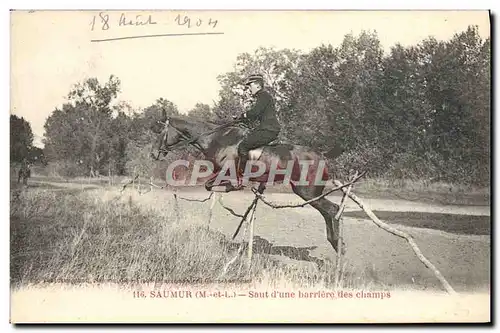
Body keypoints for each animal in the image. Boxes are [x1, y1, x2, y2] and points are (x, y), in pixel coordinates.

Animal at [148, 111, 344, 252]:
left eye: (160, 133)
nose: (153, 154)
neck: (217, 139)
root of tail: (321, 155)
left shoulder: (227, 172)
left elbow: (213, 185)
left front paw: (232, 187)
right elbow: (208, 185)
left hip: (308, 191)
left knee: (333, 210)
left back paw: (338, 245)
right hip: (305, 192)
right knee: (328, 212)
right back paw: (334, 243)